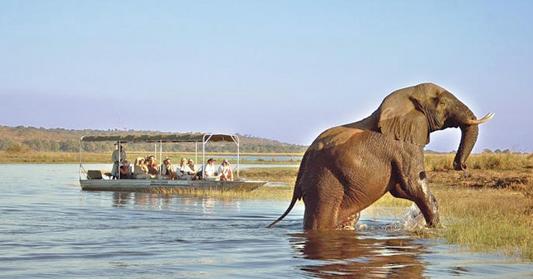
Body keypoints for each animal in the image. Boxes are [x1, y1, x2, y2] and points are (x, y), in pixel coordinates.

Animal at [268, 83, 492, 232]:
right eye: (442, 102)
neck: (407, 95)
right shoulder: (404, 146)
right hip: (323, 183)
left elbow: (402, 189)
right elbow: (413, 185)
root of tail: (303, 163)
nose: (460, 165)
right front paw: (435, 229)